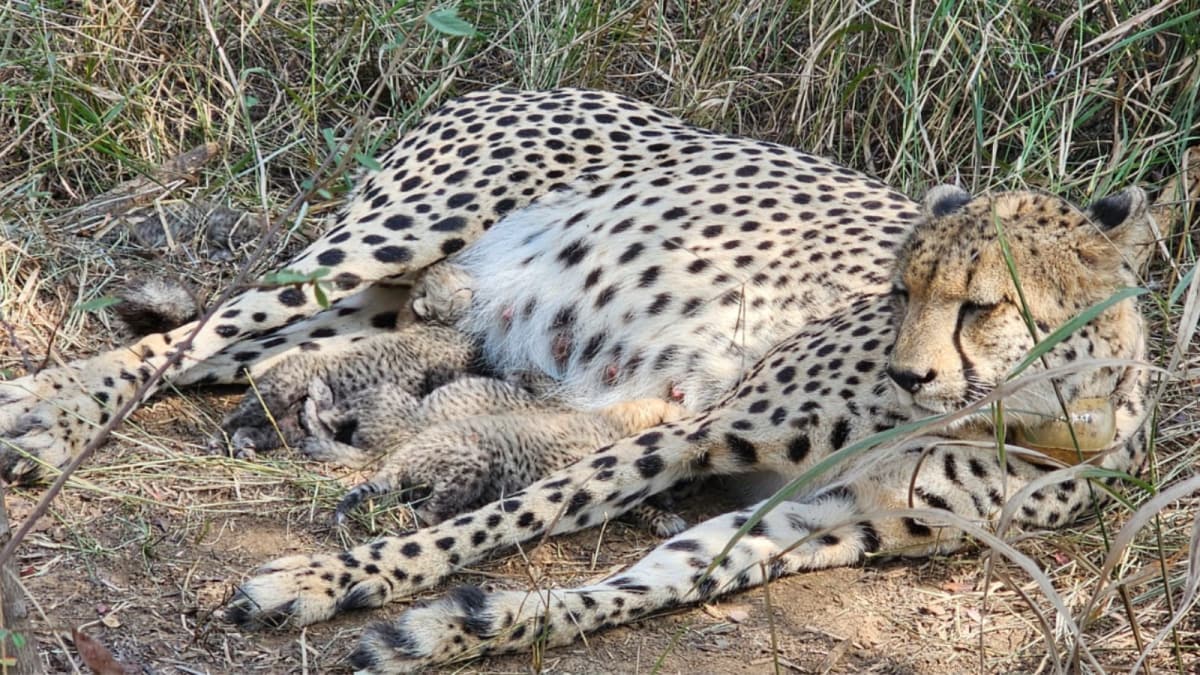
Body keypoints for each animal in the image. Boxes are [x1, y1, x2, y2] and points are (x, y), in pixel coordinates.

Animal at [0, 88, 1192, 674]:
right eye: (902, 290)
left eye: (983, 305)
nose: (909, 367)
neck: (1040, 416)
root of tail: (522, 80)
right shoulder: (702, 429)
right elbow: (518, 514)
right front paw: (334, 579)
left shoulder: (817, 522)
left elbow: (632, 585)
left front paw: (459, 630)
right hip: (386, 241)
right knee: (192, 332)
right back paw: (46, 418)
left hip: (382, 306)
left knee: (240, 353)